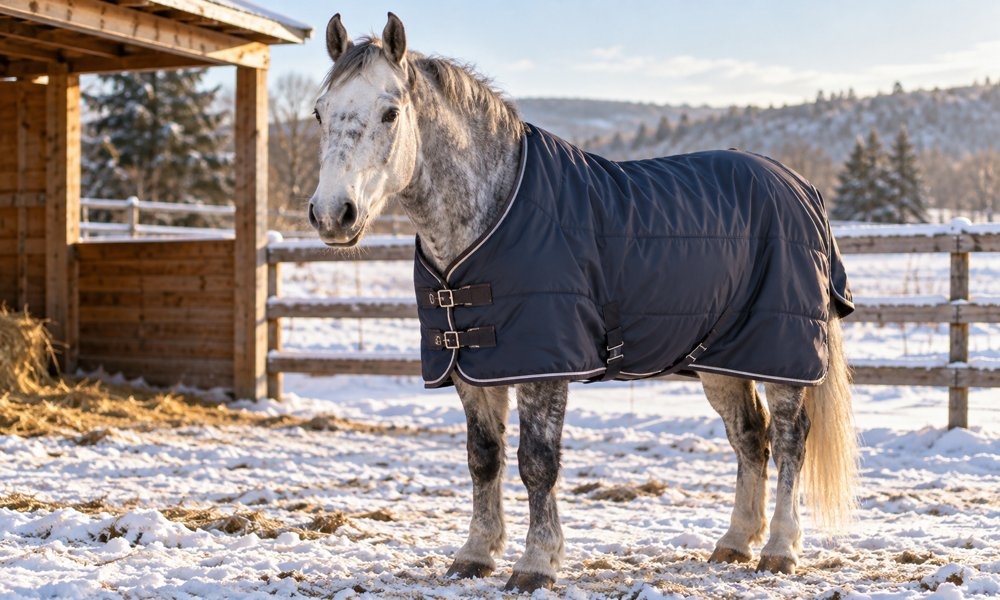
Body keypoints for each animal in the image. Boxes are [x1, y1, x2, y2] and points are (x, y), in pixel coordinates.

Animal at [308, 12, 859, 593]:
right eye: (321, 111)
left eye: (390, 112)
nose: (333, 214)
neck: (492, 213)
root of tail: (798, 185)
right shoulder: (471, 366)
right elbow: (483, 459)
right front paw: (475, 555)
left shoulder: (542, 368)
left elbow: (537, 463)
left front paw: (536, 564)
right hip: (723, 358)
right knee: (751, 437)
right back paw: (734, 543)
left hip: (782, 352)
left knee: (791, 438)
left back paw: (780, 549)